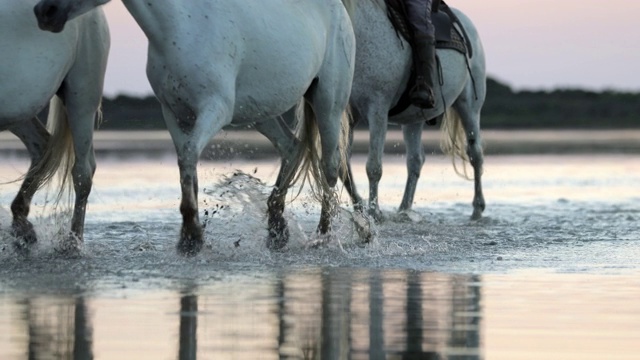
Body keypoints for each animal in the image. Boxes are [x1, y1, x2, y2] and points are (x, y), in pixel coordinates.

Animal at [0, 0, 109, 255]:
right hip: (18, 110)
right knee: (41, 145)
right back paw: (22, 227)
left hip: (82, 100)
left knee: (82, 171)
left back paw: (72, 243)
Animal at [35, 0, 358, 255]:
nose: (44, 11)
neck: (178, 28)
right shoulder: (173, 114)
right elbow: (185, 165)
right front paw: (191, 237)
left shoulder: (214, 109)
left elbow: (190, 153)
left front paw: (191, 236)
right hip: (261, 113)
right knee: (291, 147)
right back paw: (277, 230)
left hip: (327, 103)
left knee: (330, 165)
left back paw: (324, 237)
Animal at [342, 0, 488, 221]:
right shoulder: (346, 114)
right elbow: (342, 165)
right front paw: (359, 207)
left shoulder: (377, 109)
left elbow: (373, 166)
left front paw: (375, 213)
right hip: (415, 119)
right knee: (416, 161)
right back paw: (404, 209)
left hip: (469, 106)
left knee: (475, 154)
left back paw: (477, 209)